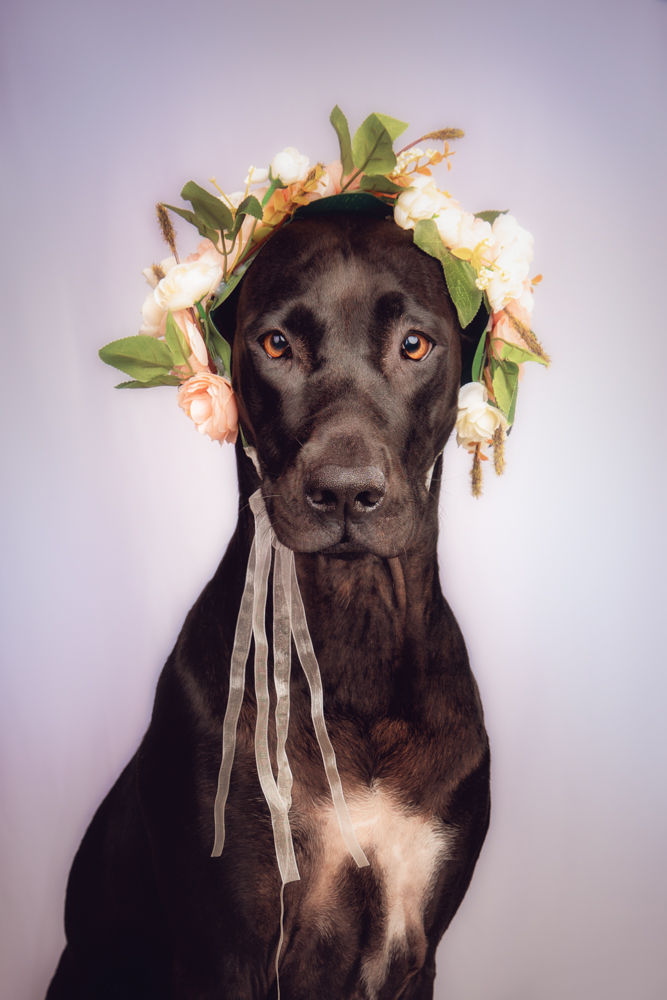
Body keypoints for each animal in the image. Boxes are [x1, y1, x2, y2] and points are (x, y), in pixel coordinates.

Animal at [47, 211, 490, 1000]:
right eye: (276, 343)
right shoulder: (229, 947)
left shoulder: (415, 946)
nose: (344, 490)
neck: (352, 625)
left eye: (414, 344)